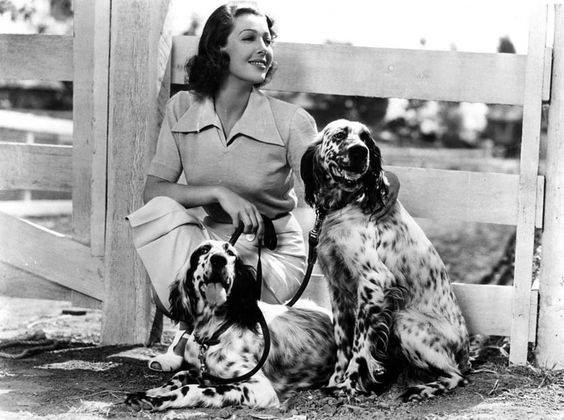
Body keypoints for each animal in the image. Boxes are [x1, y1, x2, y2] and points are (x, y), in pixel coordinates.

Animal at [125, 240, 336, 410]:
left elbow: (190, 389)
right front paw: (152, 392)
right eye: (204, 249)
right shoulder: (205, 372)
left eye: (231, 253)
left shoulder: (259, 387)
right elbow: (179, 375)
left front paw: (157, 399)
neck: (214, 330)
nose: (219, 260)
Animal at [300, 119, 470, 401]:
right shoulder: (337, 288)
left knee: (456, 375)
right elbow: (343, 341)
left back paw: (421, 389)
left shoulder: (374, 282)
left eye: (366, 139)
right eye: (339, 135)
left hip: (403, 322)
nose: (360, 152)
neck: (343, 207)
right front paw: (336, 380)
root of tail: (466, 349)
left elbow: (359, 345)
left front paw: (349, 385)